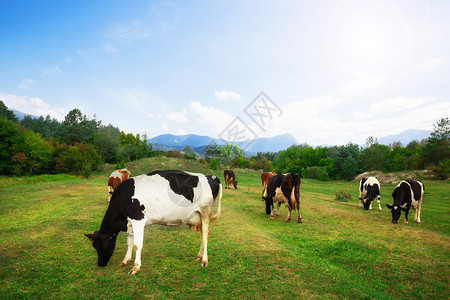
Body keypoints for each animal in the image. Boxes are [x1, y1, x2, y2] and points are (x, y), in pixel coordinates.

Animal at [85, 169, 221, 274]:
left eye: (100, 245)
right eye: (94, 246)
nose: (100, 264)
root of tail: (210, 177)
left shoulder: (138, 220)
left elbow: (137, 245)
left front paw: (136, 267)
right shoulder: (130, 223)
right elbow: (129, 243)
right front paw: (125, 260)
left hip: (205, 213)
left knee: (205, 236)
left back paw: (204, 260)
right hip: (200, 217)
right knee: (203, 236)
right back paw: (199, 256)